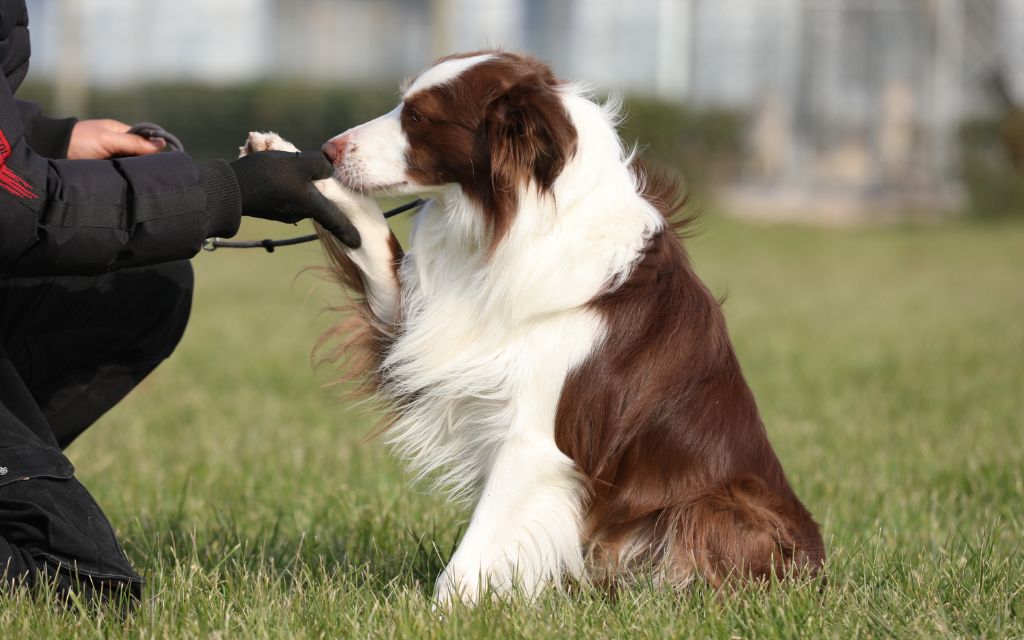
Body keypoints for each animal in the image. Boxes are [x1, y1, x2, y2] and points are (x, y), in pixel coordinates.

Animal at [243, 49, 827, 602]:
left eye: (420, 116)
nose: (329, 150)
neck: (506, 225)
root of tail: (818, 568)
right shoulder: (419, 326)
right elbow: (371, 242)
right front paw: (292, 167)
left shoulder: (535, 439)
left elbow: (478, 546)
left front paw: (440, 610)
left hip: (722, 504)